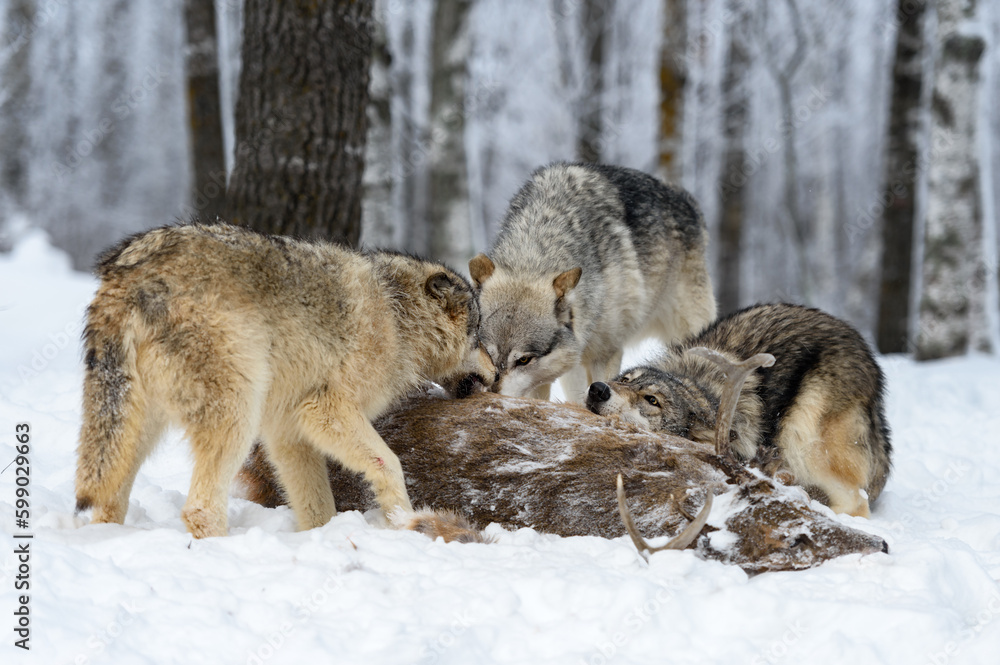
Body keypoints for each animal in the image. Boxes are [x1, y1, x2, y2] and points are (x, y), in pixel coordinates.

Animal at [75, 222, 495, 538]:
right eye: (479, 336)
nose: (496, 374)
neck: (399, 317)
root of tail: (131, 270)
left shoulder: (288, 430)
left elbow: (316, 504)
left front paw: (319, 537)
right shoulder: (325, 408)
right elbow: (389, 463)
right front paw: (405, 521)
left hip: (135, 430)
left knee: (108, 502)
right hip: (237, 416)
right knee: (198, 509)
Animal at [469, 162, 716, 401]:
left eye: (523, 360)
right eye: (487, 354)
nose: (489, 396)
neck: (536, 252)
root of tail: (686, 199)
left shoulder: (605, 355)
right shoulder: (563, 369)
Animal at [586, 303, 892, 518]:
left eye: (652, 400)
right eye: (626, 380)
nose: (597, 388)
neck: (700, 389)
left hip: (804, 438)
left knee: (857, 504)